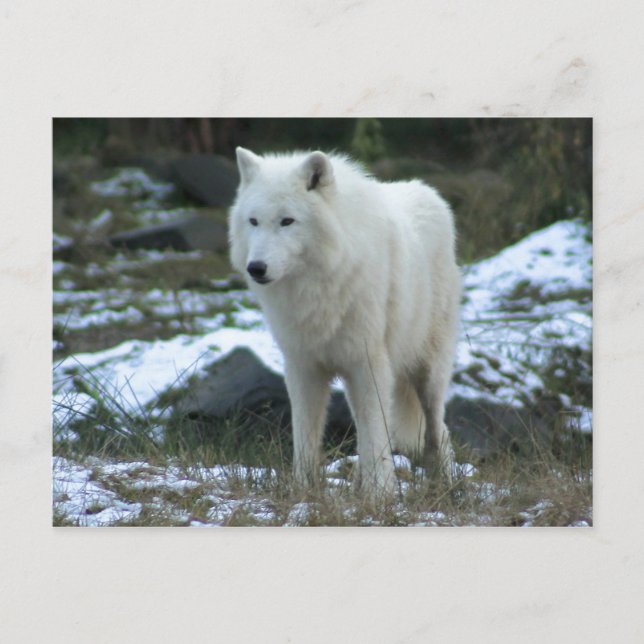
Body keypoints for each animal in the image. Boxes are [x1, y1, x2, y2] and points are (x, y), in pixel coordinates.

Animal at [228, 147, 461, 497]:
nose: (256, 267)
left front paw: (380, 495)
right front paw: (303, 490)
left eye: (287, 221)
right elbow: (306, 437)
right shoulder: (303, 367)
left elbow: (375, 436)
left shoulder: (368, 364)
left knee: (437, 431)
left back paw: (444, 485)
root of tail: (430, 193)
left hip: (428, 374)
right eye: (253, 221)